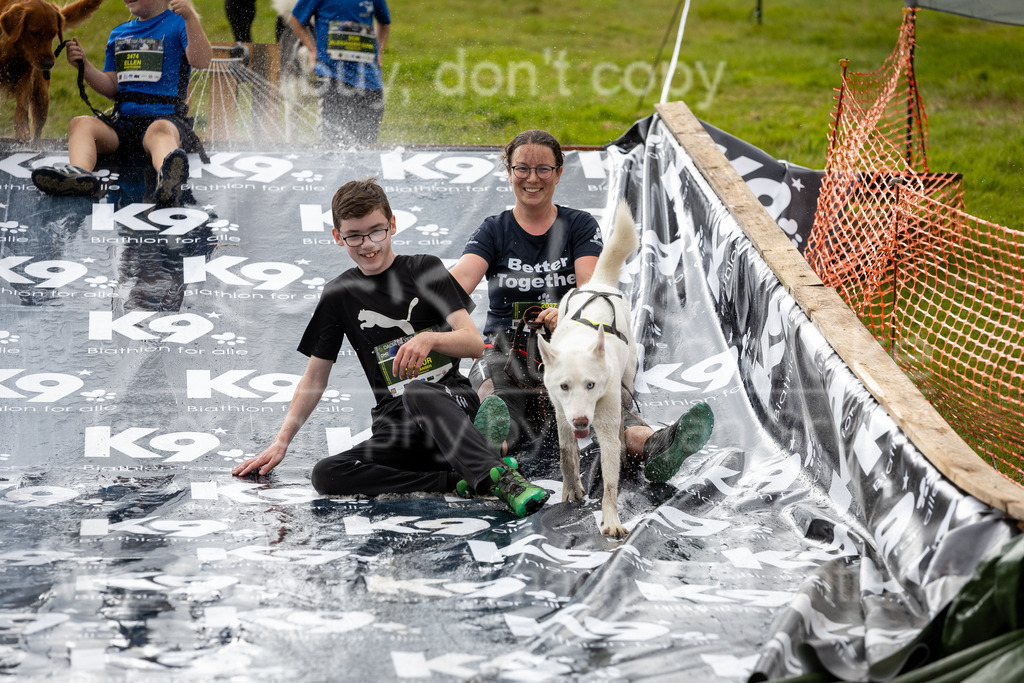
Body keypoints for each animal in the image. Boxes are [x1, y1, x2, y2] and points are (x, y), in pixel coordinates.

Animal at [0, 0, 103, 141]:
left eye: (53, 34)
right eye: (35, 33)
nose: (49, 64)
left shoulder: (26, 76)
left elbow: (22, 106)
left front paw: (22, 131)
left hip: (41, 97)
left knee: (37, 131)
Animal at [540, 200, 634, 536]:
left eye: (591, 385)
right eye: (565, 386)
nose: (582, 419)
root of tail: (598, 284)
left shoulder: (604, 419)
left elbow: (610, 480)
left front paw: (611, 518)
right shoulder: (561, 413)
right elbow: (567, 454)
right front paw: (570, 491)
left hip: (626, 388)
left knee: (621, 428)